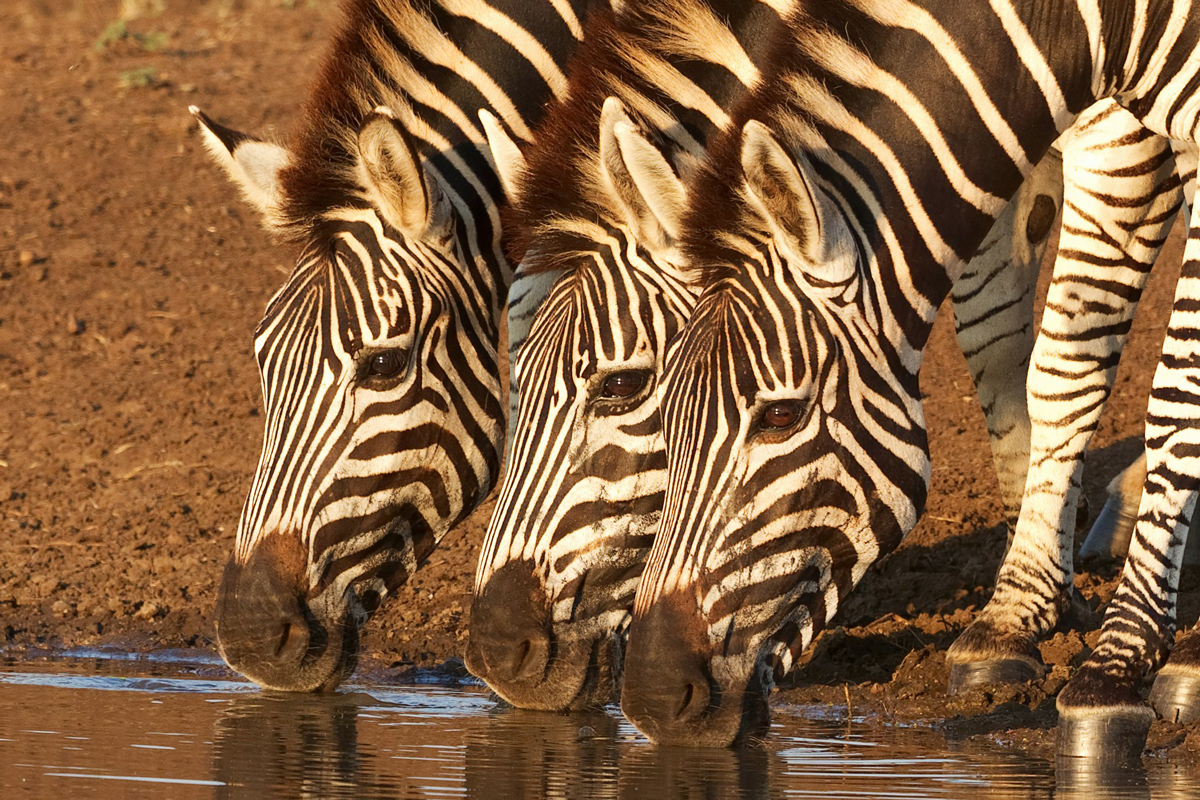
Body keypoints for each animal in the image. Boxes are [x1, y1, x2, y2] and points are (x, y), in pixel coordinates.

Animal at [618, 0, 1200, 757]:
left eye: (780, 415)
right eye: (659, 413)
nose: (652, 699)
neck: (1111, 26)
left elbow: (1175, 392)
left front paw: (1115, 666)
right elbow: (1059, 368)